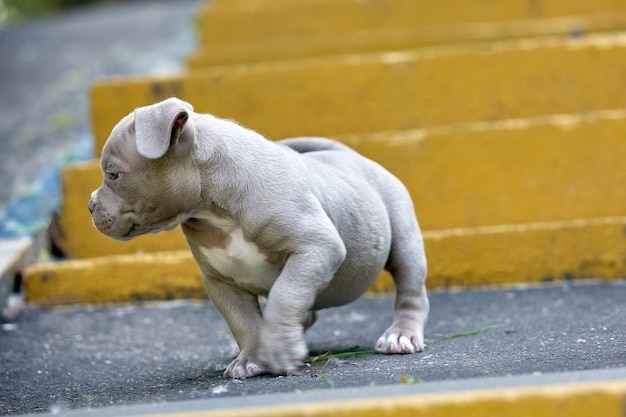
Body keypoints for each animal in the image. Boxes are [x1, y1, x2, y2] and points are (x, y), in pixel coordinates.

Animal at [89, 96, 428, 376]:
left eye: (114, 174)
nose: (90, 205)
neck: (214, 206)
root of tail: (353, 157)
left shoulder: (316, 248)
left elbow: (284, 295)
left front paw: (277, 351)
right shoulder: (220, 281)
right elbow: (243, 322)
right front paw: (251, 358)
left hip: (403, 238)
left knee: (410, 289)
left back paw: (400, 335)